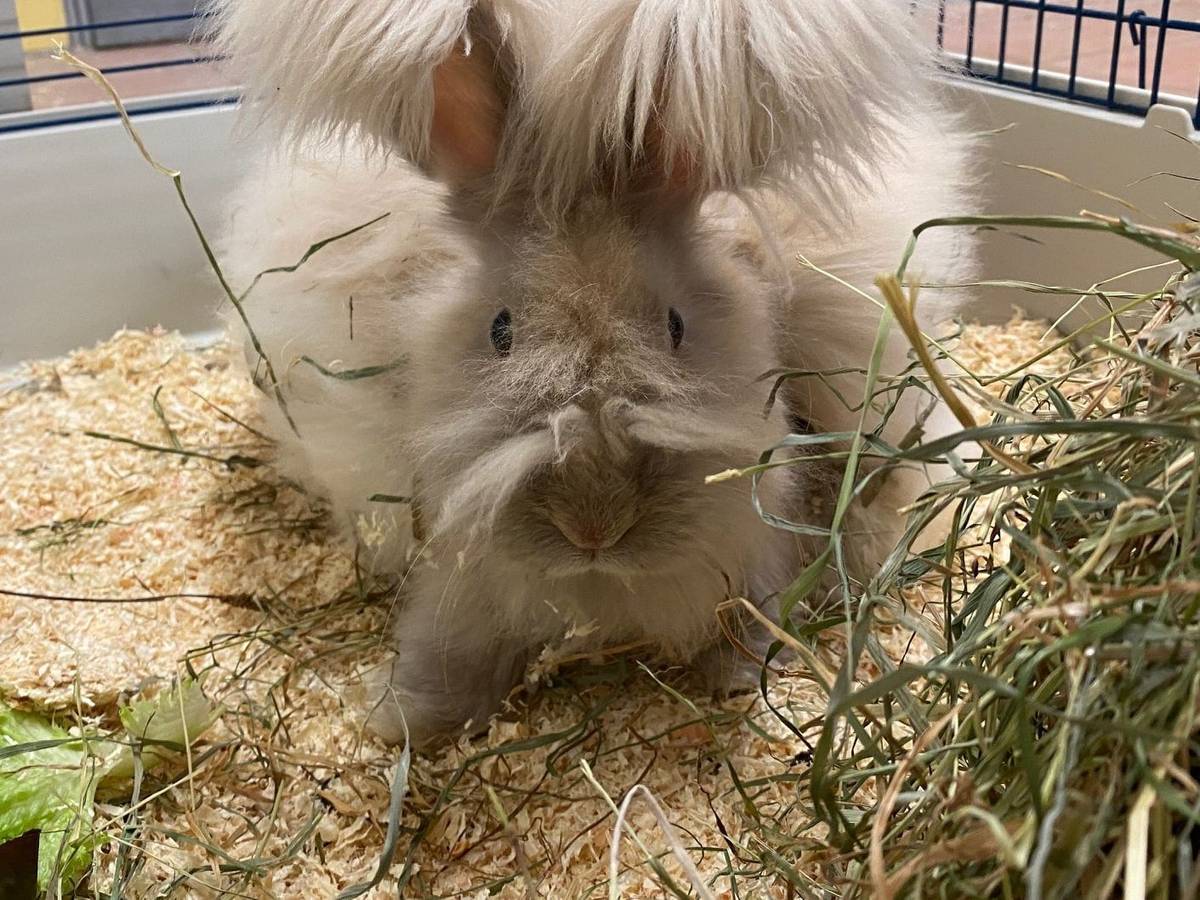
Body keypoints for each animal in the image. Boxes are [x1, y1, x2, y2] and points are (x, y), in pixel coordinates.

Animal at [212, 0, 979, 745]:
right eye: (500, 331)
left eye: (676, 327)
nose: (594, 526)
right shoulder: (458, 577)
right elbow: (450, 652)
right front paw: (403, 718)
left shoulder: (757, 553)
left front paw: (741, 677)